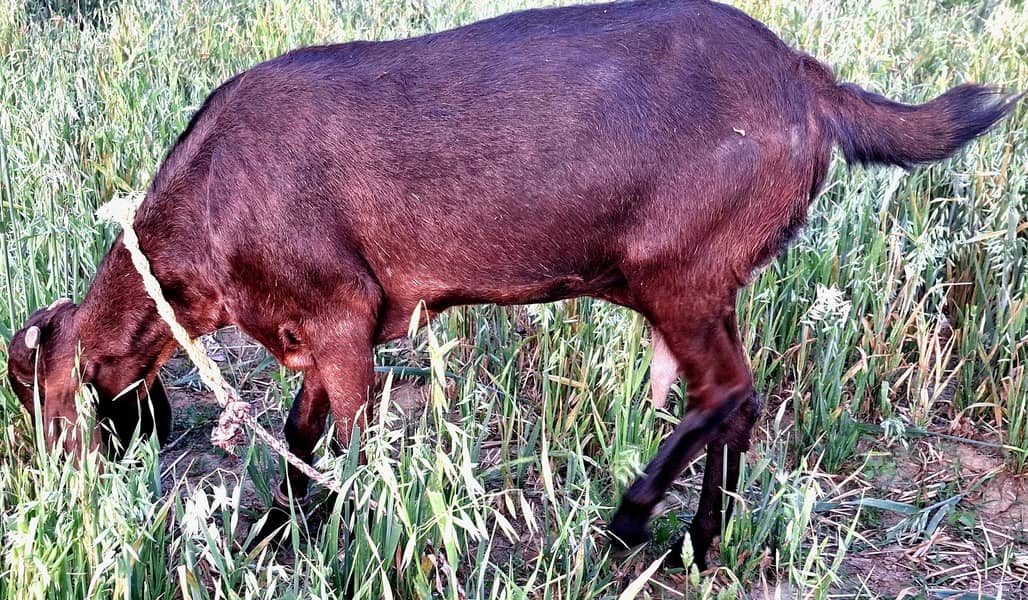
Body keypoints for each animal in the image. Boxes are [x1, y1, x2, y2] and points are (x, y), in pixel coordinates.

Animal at [7, 0, 1017, 569]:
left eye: (34, 399)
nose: (54, 489)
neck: (206, 207)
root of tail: (809, 84)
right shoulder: (313, 331)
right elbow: (297, 438)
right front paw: (273, 530)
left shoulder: (341, 316)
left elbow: (350, 446)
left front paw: (351, 536)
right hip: (706, 284)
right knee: (738, 403)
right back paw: (698, 544)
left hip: (676, 273)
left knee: (726, 394)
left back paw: (629, 521)